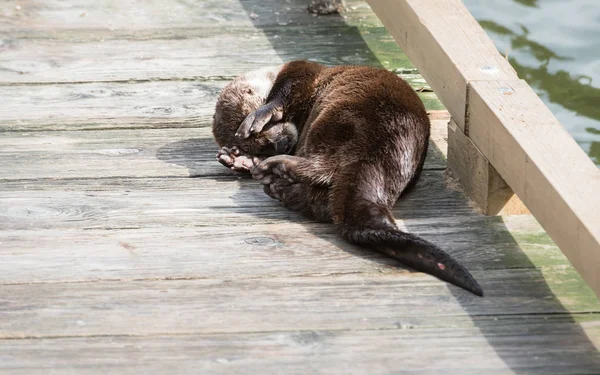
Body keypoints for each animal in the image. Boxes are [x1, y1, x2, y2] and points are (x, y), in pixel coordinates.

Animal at [212, 61, 482, 296]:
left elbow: (286, 90)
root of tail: (376, 156)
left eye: (264, 134)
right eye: (262, 146)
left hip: (342, 115)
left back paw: (279, 173)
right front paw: (237, 158)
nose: (280, 144)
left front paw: (259, 116)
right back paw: (280, 184)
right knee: (323, 198)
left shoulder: (301, 70)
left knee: (326, 167)